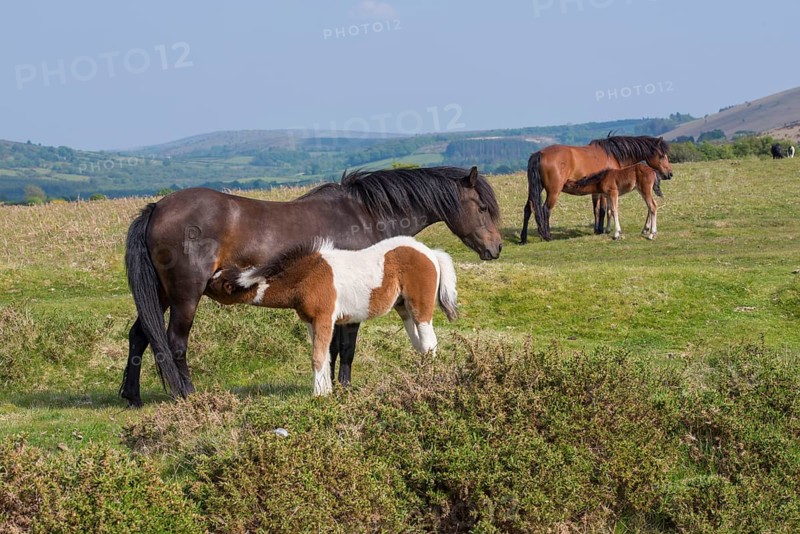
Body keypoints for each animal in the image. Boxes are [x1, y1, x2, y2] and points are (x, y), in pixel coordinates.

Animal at [207, 236, 458, 396]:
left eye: (217, 282)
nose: (203, 282)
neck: (306, 275)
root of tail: (430, 253)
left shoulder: (324, 317)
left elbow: (318, 356)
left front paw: (318, 395)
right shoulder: (310, 321)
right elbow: (326, 355)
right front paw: (327, 390)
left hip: (420, 306)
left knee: (429, 343)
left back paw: (427, 381)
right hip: (403, 308)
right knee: (420, 345)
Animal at [520, 135, 673, 242]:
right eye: (661, 156)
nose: (669, 174)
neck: (613, 154)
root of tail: (539, 154)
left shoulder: (597, 192)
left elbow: (598, 210)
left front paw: (599, 229)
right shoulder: (606, 192)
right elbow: (605, 210)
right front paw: (603, 230)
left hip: (534, 189)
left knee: (528, 208)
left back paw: (523, 238)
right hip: (553, 191)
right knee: (545, 210)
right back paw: (547, 236)